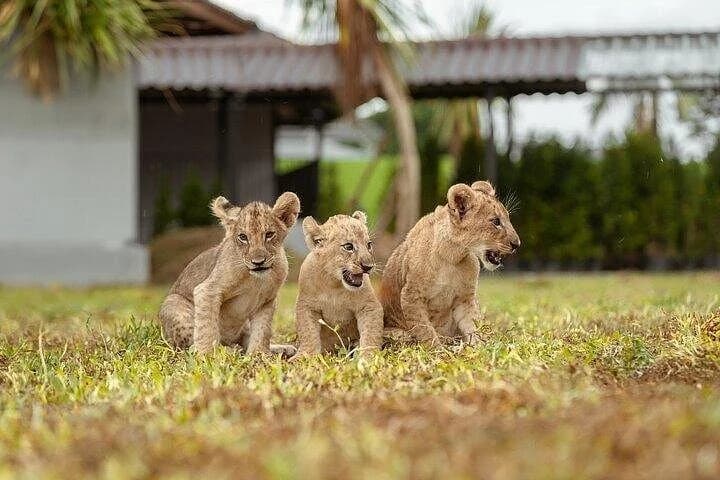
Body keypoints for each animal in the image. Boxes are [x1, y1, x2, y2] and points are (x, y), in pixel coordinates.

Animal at [158, 193, 300, 355]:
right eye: (243, 237)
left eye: (269, 235)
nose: (258, 262)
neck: (256, 280)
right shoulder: (207, 290)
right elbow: (206, 327)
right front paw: (206, 354)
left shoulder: (267, 301)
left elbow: (262, 330)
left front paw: (258, 354)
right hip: (173, 302)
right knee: (190, 344)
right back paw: (226, 350)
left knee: (244, 340)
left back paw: (281, 349)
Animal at [290, 211, 383, 359]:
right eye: (348, 247)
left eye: (369, 245)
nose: (368, 266)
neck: (334, 284)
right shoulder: (306, 306)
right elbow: (308, 333)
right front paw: (304, 355)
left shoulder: (369, 306)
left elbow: (371, 333)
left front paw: (368, 356)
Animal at [379, 180, 520, 346]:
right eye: (496, 221)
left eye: (507, 218)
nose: (517, 244)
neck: (452, 256)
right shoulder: (411, 296)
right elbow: (425, 330)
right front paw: (439, 350)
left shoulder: (465, 298)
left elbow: (473, 325)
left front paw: (480, 347)